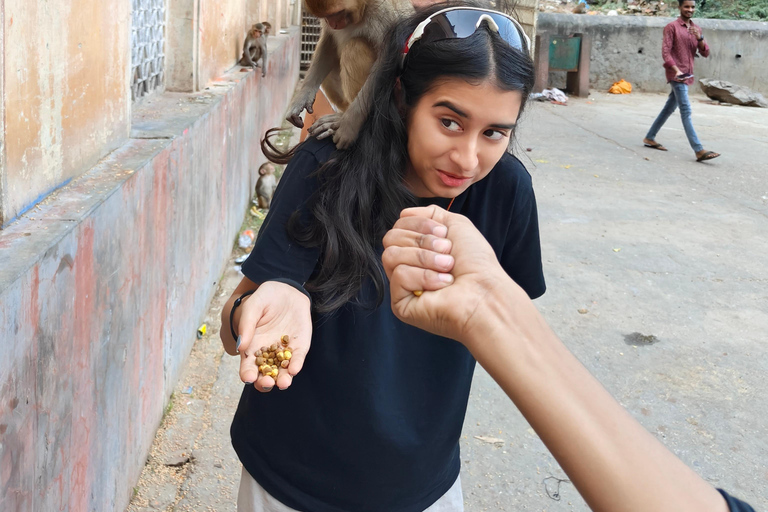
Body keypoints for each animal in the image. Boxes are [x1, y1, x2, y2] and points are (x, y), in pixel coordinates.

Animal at [284, 0, 414, 148]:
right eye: (327, 16)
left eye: (338, 13)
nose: (333, 24)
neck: (364, 9)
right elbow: (329, 41)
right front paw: (302, 98)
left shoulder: (385, 15)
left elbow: (386, 62)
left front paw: (348, 125)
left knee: (355, 46)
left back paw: (342, 118)